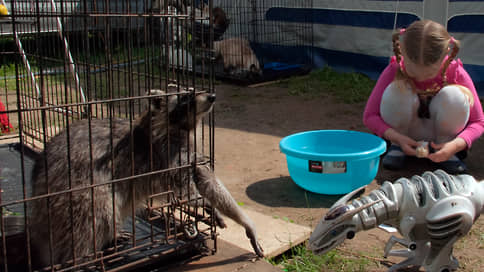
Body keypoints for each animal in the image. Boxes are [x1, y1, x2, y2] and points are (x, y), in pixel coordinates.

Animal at [29, 88, 264, 268]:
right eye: (185, 97)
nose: (212, 96)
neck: (179, 127)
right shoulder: (169, 155)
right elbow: (187, 191)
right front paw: (204, 204)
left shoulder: (189, 153)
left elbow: (209, 183)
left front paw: (244, 222)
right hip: (73, 189)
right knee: (96, 212)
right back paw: (82, 259)